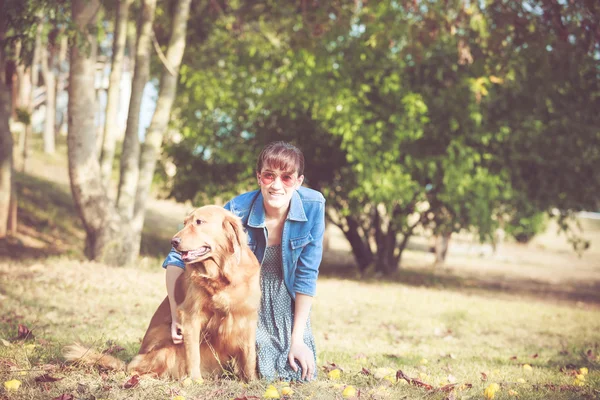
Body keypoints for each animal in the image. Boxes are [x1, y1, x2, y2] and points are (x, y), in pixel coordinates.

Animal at [65, 206, 260, 382]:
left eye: (199, 222)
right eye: (185, 223)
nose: (173, 241)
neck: (221, 276)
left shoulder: (248, 318)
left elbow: (250, 355)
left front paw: (252, 382)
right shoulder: (191, 317)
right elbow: (193, 355)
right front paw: (195, 381)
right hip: (166, 352)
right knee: (135, 370)